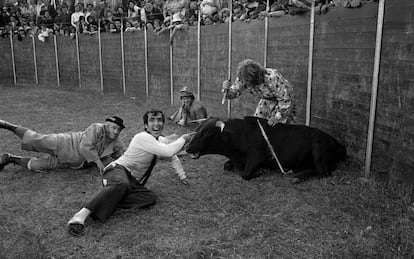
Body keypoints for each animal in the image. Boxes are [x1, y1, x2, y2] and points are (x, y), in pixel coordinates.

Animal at [185, 117, 346, 182]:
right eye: (197, 130)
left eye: (207, 134)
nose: (187, 147)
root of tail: (339, 144)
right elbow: (226, 166)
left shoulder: (257, 156)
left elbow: (245, 174)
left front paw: (261, 171)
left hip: (318, 151)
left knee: (323, 173)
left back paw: (298, 177)